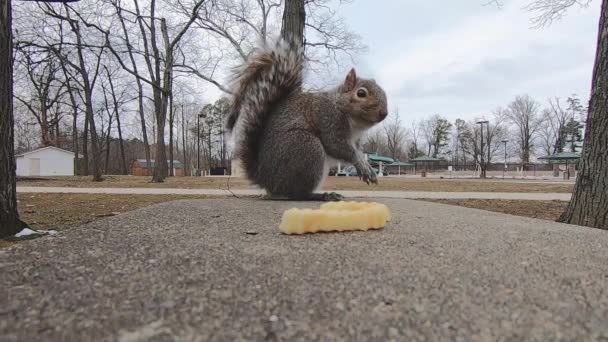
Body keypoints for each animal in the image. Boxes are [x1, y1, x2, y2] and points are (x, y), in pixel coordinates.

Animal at [226, 38, 388, 200]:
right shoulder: (328, 119)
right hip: (307, 148)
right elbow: (338, 146)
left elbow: (358, 151)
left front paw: (366, 166)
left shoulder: (356, 139)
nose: (384, 113)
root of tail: (266, 180)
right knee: (298, 194)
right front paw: (360, 163)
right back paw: (323, 195)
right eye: (361, 93)